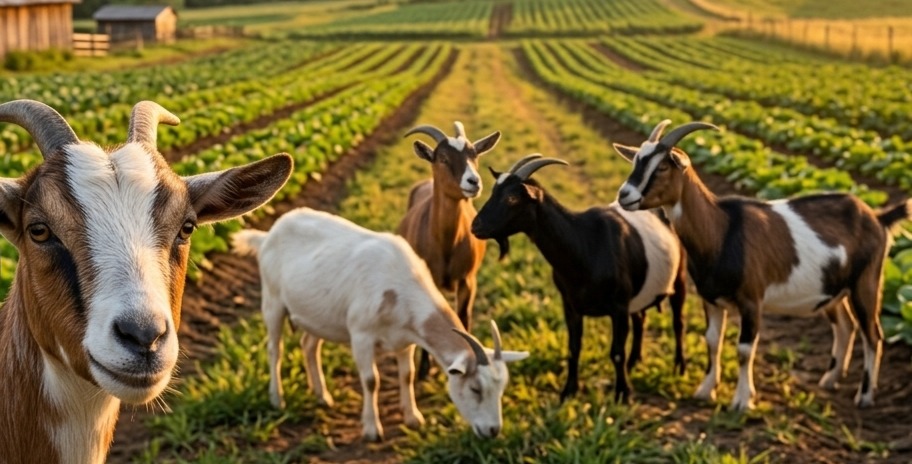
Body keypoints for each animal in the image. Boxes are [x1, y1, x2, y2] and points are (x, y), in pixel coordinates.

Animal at [232, 207, 528, 442]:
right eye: (476, 388)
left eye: (501, 389)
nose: (493, 431)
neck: (400, 287)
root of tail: (268, 235)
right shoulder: (360, 334)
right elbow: (371, 380)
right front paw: (372, 430)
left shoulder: (405, 341)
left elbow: (407, 374)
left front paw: (413, 418)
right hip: (272, 300)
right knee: (275, 349)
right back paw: (277, 399)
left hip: (318, 314)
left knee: (308, 345)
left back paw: (322, 396)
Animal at [397, 122, 501, 379]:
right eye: (443, 158)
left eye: (475, 155)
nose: (473, 182)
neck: (445, 244)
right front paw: (425, 369)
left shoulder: (467, 280)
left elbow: (463, 319)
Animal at [471, 154, 687, 403]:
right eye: (493, 192)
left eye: (512, 197)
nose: (475, 226)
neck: (585, 246)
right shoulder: (571, 305)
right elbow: (573, 348)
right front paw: (568, 391)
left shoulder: (619, 307)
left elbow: (617, 352)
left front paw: (622, 393)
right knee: (640, 318)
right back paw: (635, 362)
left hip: (679, 278)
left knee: (678, 322)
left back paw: (679, 367)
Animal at [614, 119, 911, 410]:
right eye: (636, 161)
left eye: (662, 166)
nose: (624, 195)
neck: (720, 230)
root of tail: (878, 217)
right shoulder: (710, 299)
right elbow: (712, 340)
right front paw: (705, 390)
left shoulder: (751, 299)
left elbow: (744, 349)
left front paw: (742, 401)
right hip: (833, 289)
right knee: (846, 327)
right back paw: (829, 380)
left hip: (867, 281)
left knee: (872, 334)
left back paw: (865, 396)